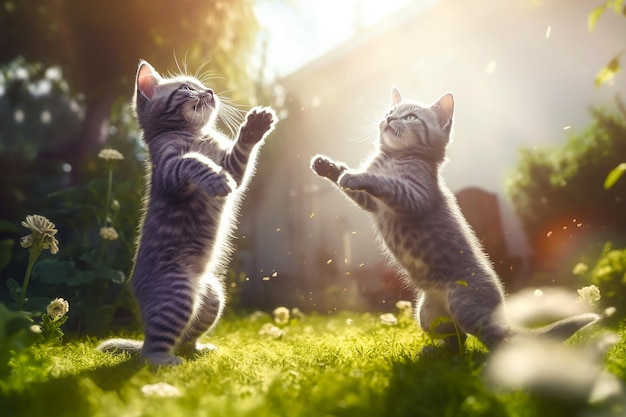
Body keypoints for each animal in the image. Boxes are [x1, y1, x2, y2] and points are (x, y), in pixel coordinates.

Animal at [97, 61, 276, 364]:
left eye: (201, 86)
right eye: (187, 88)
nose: (210, 91)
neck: (196, 135)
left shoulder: (231, 166)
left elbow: (238, 159)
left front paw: (254, 128)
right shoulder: (169, 169)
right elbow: (193, 161)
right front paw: (214, 179)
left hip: (213, 296)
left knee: (186, 336)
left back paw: (198, 350)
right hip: (176, 293)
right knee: (153, 349)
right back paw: (165, 361)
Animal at [310, 88, 596, 352]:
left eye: (410, 116)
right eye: (390, 111)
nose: (388, 118)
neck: (393, 157)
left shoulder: (414, 195)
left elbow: (385, 182)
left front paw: (355, 175)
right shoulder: (373, 205)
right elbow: (355, 189)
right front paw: (327, 166)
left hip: (467, 305)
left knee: (496, 339)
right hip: (426, 315)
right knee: (458, 340)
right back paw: (436, 354)